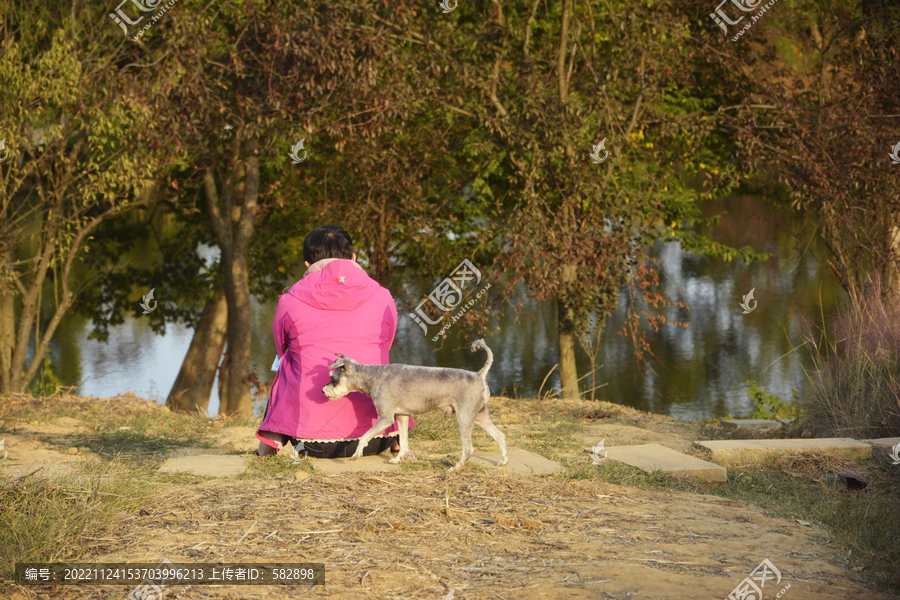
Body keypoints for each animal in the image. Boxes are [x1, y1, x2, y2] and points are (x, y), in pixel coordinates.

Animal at [322, 340, 506, 472]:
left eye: (333, 378)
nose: (323, 390)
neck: (373, 376)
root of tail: (479, 375)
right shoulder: (402, 417)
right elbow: (403, 442)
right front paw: (397, 459)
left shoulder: (385, 418)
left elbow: (364, 436)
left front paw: (356, 455)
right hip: (480, 416)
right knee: (500, 436)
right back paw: (503, 460)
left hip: (464, 419)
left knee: (468, 448)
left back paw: (455, 468)